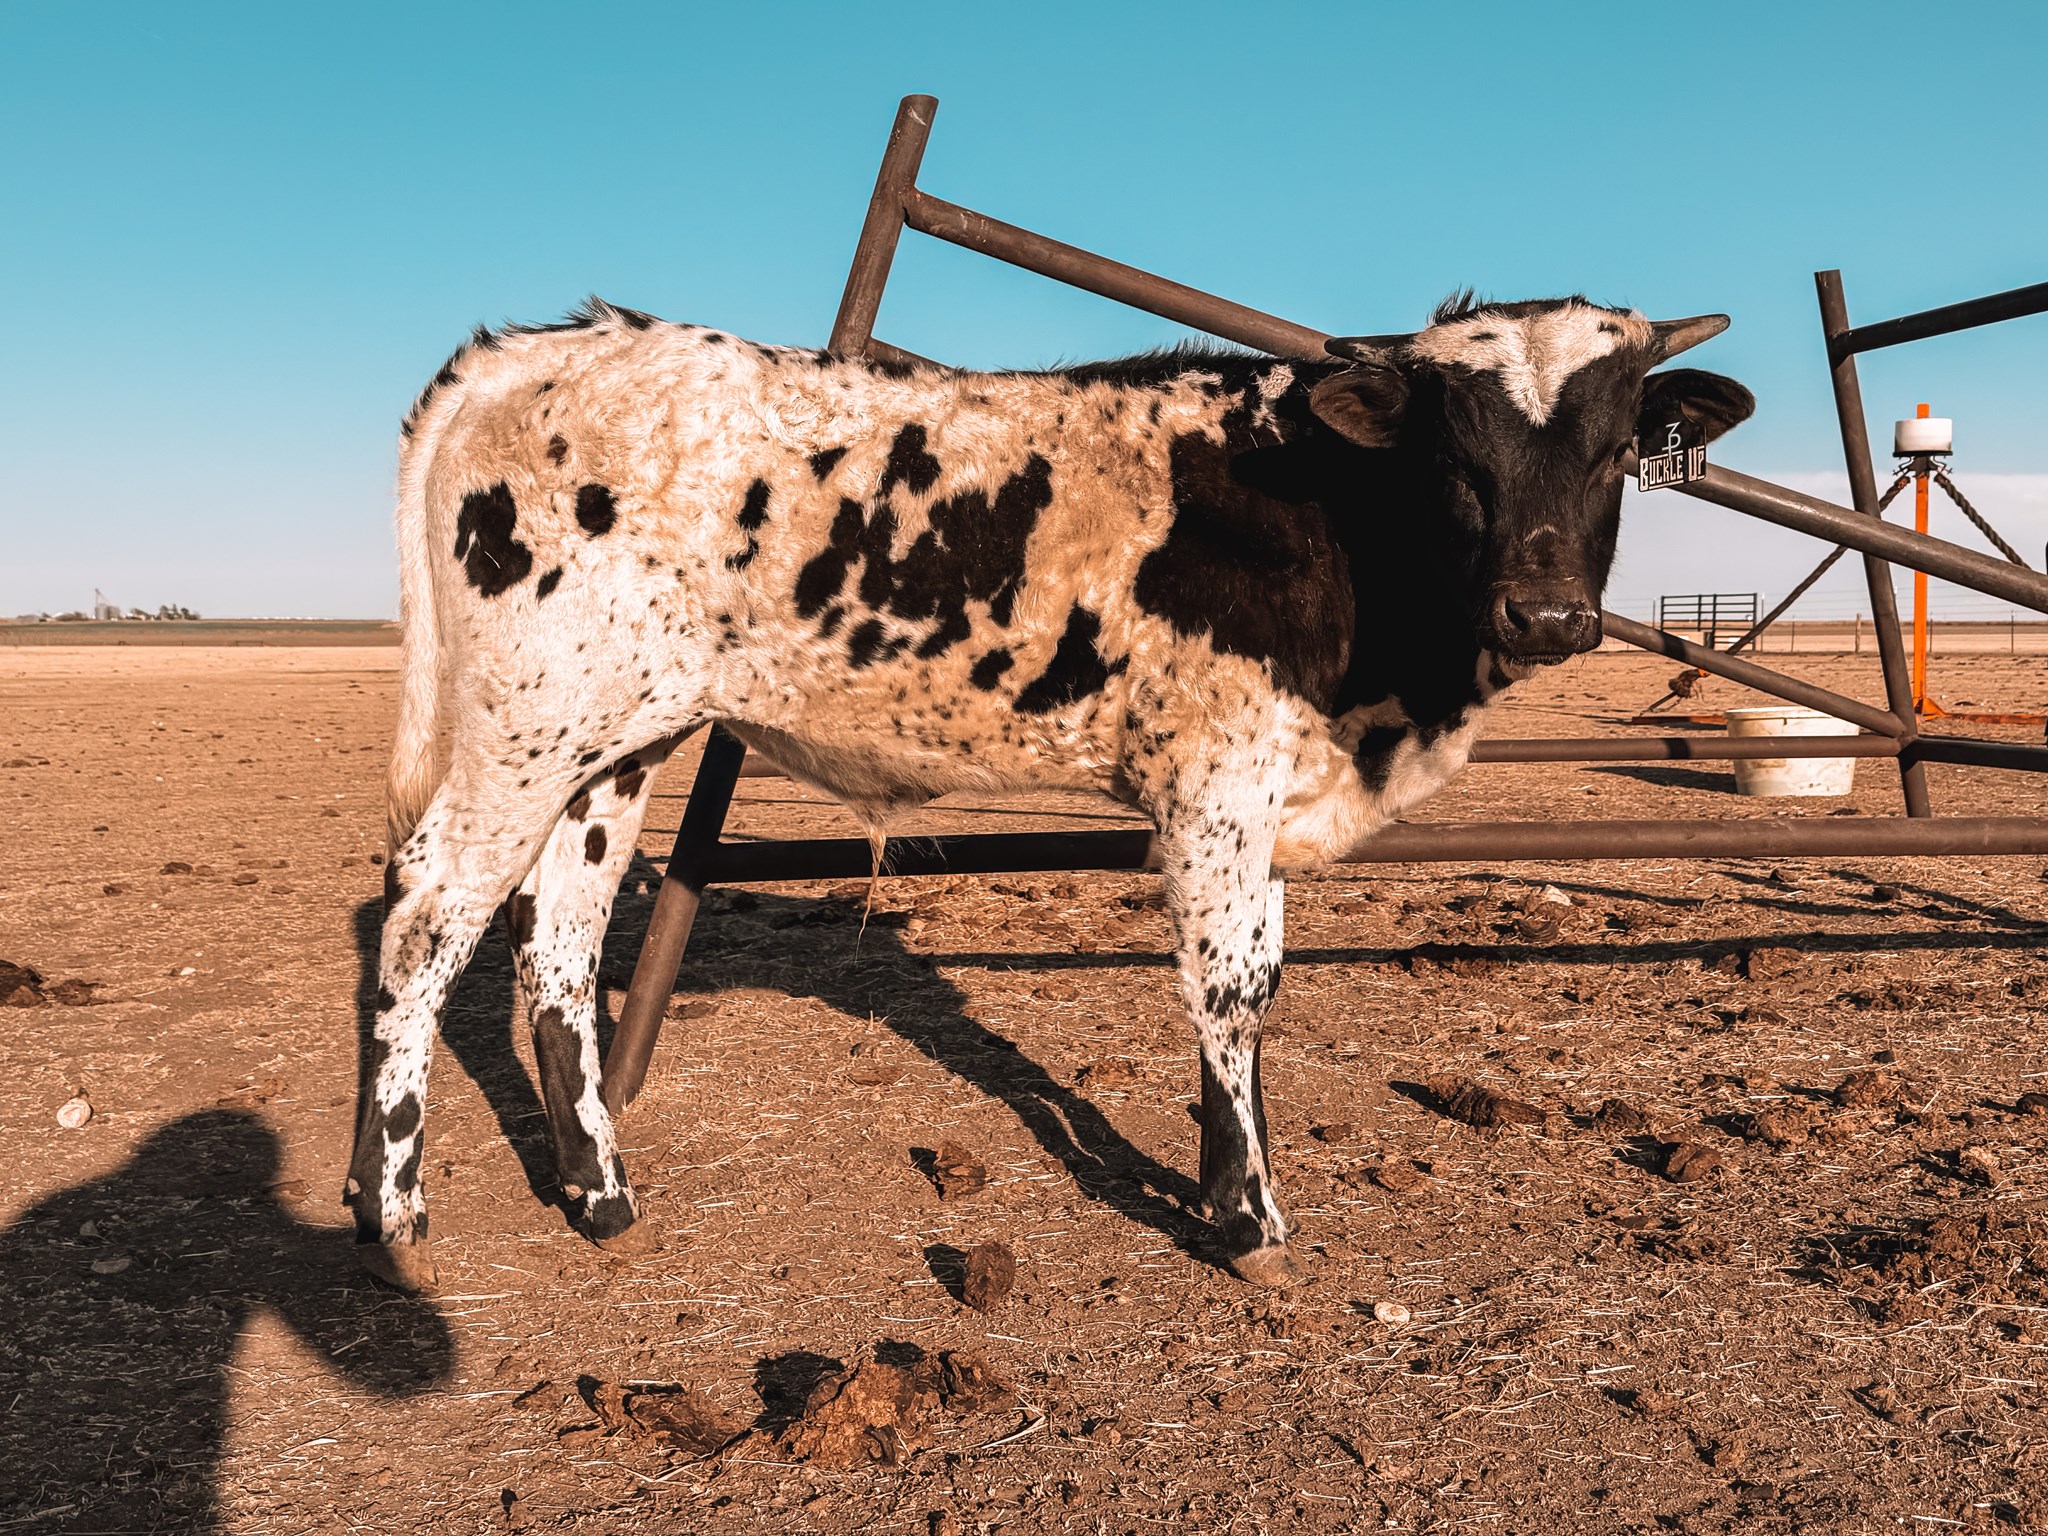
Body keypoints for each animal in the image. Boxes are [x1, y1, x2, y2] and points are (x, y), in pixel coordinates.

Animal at [347, 294, 1753, 1293]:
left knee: (558, 949)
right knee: (424, 925)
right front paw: (1245, 1216)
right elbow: (1229, 991)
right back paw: (390, 1204)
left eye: (1615, 449)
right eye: (1456, 455)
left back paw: (598, 1196)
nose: (1547, 614)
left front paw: (1221, 1172)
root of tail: (535, 349)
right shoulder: (1215, 789)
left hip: (613, 745)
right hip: (523, 733)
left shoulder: (1263, 801)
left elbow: (1250, 987)